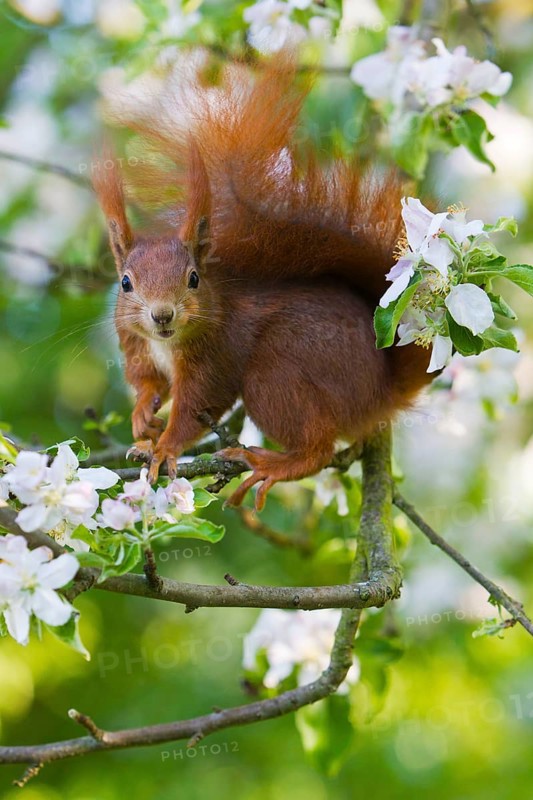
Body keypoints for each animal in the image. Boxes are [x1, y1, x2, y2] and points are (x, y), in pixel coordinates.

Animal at [93, 58, 432, 510]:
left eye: (193, 278)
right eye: (126, 283)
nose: (162, 315)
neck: (167, 343)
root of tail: (383, 390)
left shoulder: (216, 354)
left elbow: (199, 405)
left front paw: (164, 446)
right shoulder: (136, 346)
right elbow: (149, 381)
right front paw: (143, 415)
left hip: (275, 377)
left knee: (318, 447)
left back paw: (274, 464)